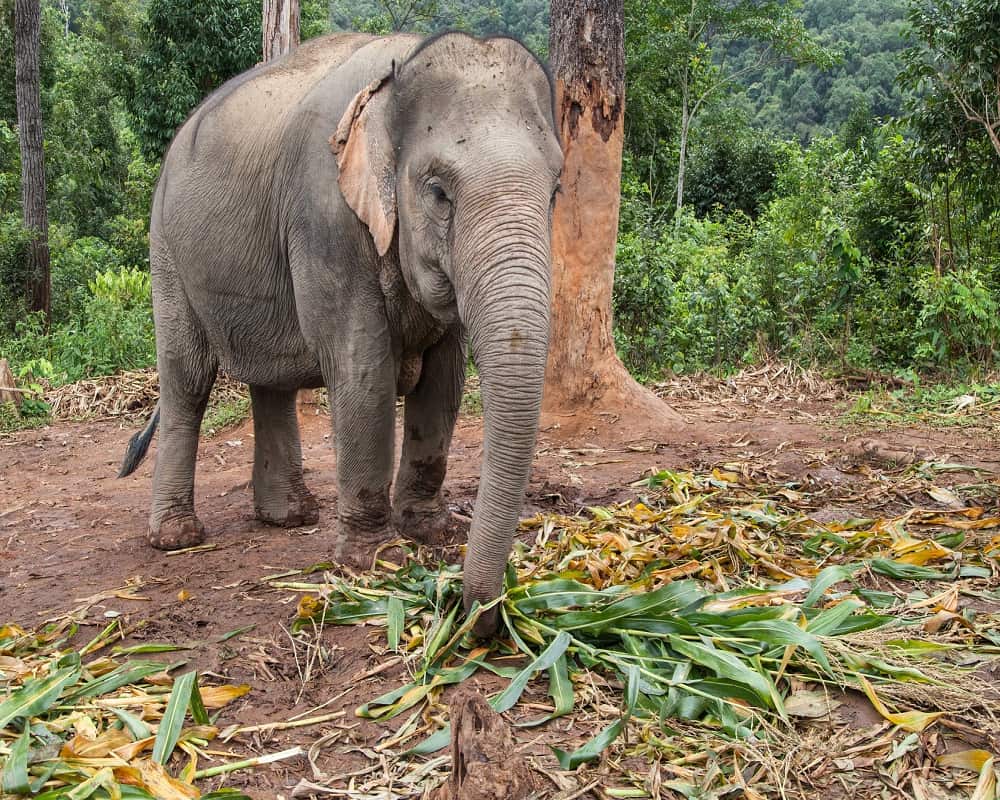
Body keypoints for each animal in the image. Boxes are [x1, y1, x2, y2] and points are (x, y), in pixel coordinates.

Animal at [117, 31, 564, 636]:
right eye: (438, 191)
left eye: (555, 191)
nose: (475, 612)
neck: (400, 72)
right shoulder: (325, 219)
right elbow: (362, 369)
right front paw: (376, 561)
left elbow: (444, 380)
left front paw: (430, 532)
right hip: (166, 249)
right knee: (187, 380)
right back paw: (178, 537)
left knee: (270, 382)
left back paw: (288, 517)